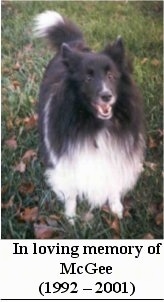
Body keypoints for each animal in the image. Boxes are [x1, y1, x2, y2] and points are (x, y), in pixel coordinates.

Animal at [33, 10, 145, 223]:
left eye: (111, 76)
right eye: (88, 78)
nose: (106, 96)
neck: (95, 123)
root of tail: (75, 44)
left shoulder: (115, 152)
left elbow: (113, 182)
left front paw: (116, 207)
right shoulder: (67, 159)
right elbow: (70, 192)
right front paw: (70, 217)